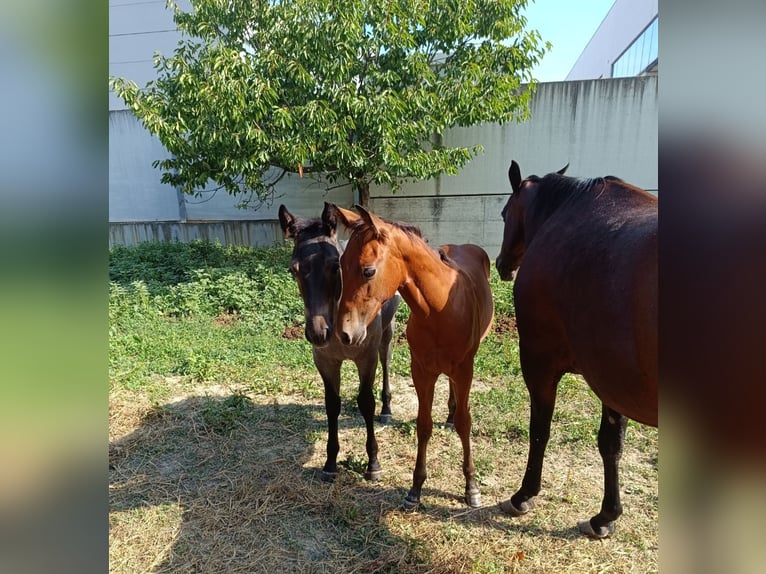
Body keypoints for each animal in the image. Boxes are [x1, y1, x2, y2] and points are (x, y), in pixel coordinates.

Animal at [278, 203, 402, 482]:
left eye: (335, 266)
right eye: (293, 270)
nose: (318, 332)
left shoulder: (366, 358)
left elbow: (366, 402)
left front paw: (373, 464)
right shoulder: (325, 361)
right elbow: (332, 405)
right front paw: (330, 463)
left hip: (387, 332)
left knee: (386, 361)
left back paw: (386, 410)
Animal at [330, 203, 494, 510]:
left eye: (368, 271)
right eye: (341, 267)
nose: (345, 333)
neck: (440, 309)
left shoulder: (465, 369)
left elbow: (465, 423)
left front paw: (471, 487)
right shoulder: (421, 371)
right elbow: (423, 425)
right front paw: (415, 489)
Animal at [495, 160, 658, 538]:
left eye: (504, 213)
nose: (501, 264)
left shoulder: (539, 363)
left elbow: (540, 430)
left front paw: (524, 495)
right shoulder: (614, 382)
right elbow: (611, 445)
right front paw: (605, 516)